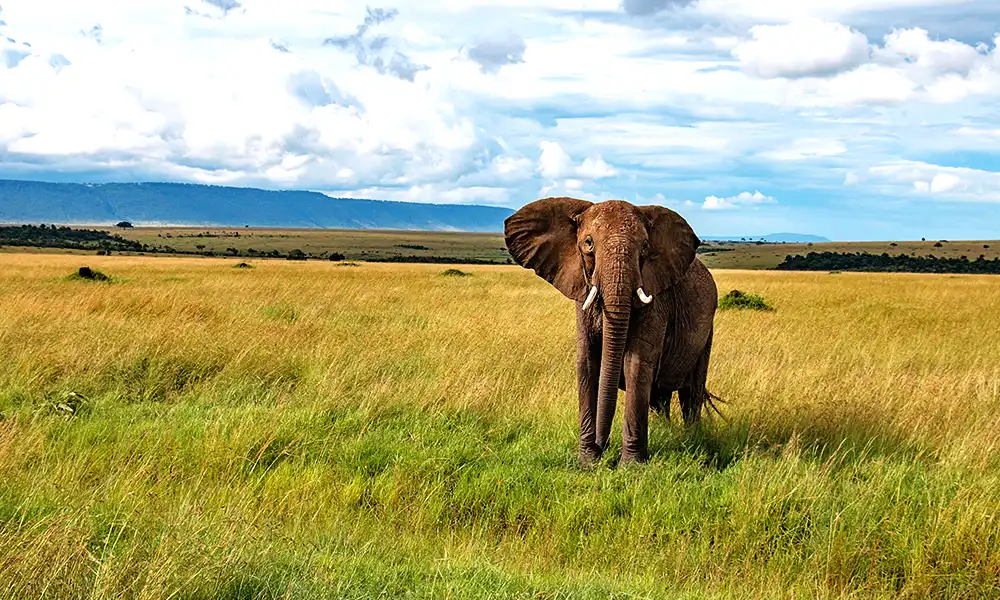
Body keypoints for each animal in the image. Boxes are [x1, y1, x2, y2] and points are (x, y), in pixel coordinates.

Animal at [504, 197, 716, 464]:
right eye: (588, 243)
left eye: (645, 246)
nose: (602, 449)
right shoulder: (581, 293)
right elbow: (587, 363)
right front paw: (587, 461)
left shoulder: (656, 299)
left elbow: (636, 364)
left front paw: (631, 465)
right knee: (660, 397)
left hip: (707, 333)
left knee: (691, 393)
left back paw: (691, 438)